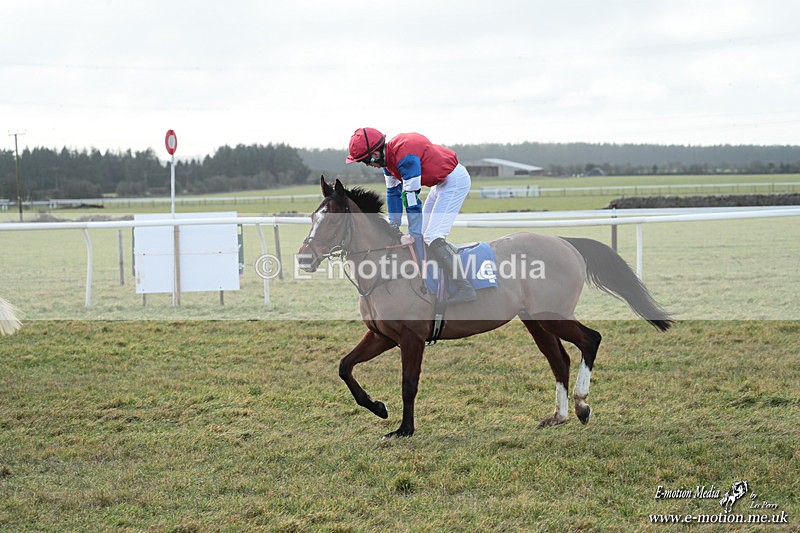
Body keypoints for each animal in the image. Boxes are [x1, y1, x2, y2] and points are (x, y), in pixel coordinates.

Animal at [298, 177, 672, 439]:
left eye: (332, 220)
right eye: (313, 217)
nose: (303, 258)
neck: (387, 268)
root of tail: (565, 242)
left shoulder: (411, 337)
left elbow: (409, 384)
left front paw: (404, 429)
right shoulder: (382, 335)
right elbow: (345, 367)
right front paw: (377, 407)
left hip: (552, 315)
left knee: (591, 339)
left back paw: (581, 405)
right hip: (535, 321)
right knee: (560, 359)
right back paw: (559, 415)